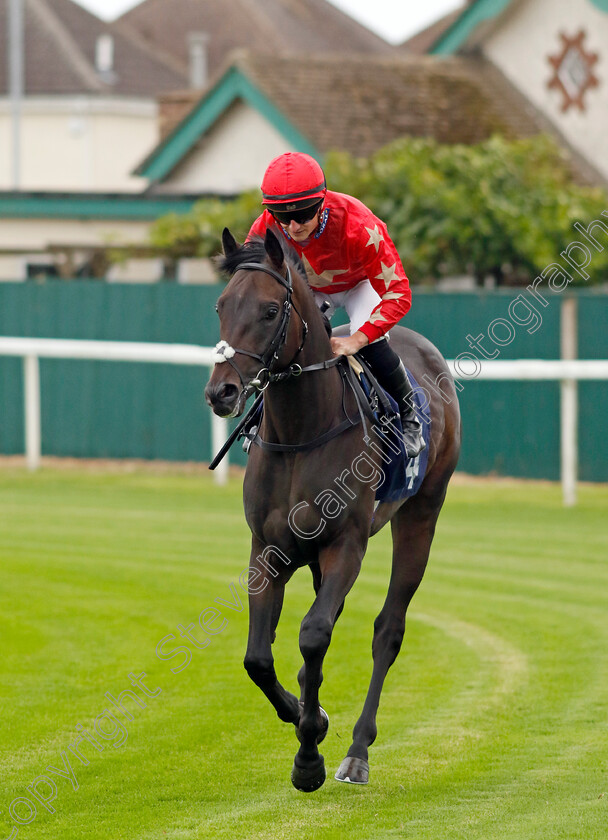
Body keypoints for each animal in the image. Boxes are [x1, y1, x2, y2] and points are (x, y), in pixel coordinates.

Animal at [204, 226, 460, 792]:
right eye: (221, 305)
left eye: (270, 310)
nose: (221, 391)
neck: (301, 433)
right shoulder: (268, 549)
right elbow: (258, 657)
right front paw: (309, 715)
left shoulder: (346, 544)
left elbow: (315, 633)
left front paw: (309, 758)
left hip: (422, 513)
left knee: (387, 630)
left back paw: (356, 752)